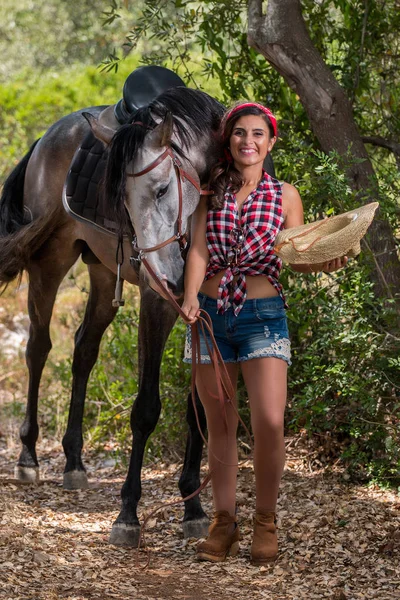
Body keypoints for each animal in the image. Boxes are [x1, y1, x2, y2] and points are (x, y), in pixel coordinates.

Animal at [0, 85, 225, 548]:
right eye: (119, 197)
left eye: (162, 190)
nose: (169, 276)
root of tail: (47, 136)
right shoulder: (158, 304)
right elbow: (146, 408)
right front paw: (128, 514)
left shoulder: (207, 310)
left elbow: (199, 402)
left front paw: (193, 506)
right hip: (49, 265)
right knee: (38, 349)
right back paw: (28, 456)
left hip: (104, 273)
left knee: (84, 348)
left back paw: (73, 462)